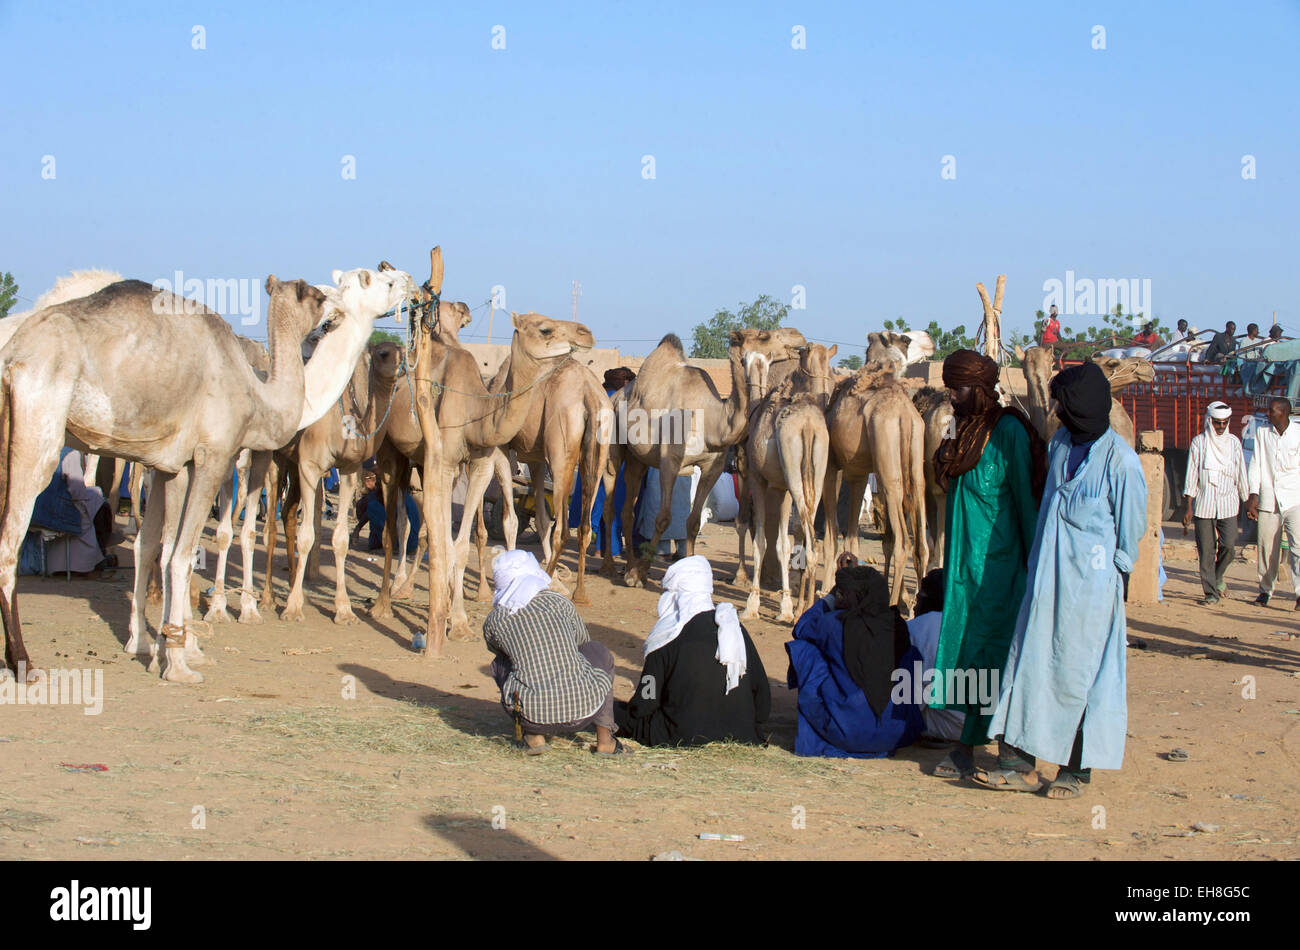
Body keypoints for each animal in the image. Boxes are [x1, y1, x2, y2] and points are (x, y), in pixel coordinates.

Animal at [0, 267, 410, 686]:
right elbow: (194, 549)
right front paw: (186, 654)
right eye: (373, 279)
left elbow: (164, 548)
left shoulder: (176, 465)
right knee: (11, 542)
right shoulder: (219, 456)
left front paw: (164, 646)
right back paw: (24, 663)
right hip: (39, 422)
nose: (406, 279)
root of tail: (14, 350)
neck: (259, 395)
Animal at [738, 343, 837, 623]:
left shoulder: (758, 480)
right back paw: (806, 607)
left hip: (793, 471)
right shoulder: (781, 489)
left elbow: (761, 541)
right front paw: (784, 607)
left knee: (810, 541)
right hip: (815, 472)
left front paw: (751, 605)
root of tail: (807, 426)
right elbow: (782, 544)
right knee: (812, 536)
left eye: (743, 360)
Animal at [826, 361, 930, 605]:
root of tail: (905, 414)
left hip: (886, 454)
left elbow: (832, 531)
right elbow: (851, 536)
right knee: (920, 543)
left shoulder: (832, 465)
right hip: (916, 453)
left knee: (902, 542)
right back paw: (915, 603)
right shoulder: (858, 474)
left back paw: (893, 604)